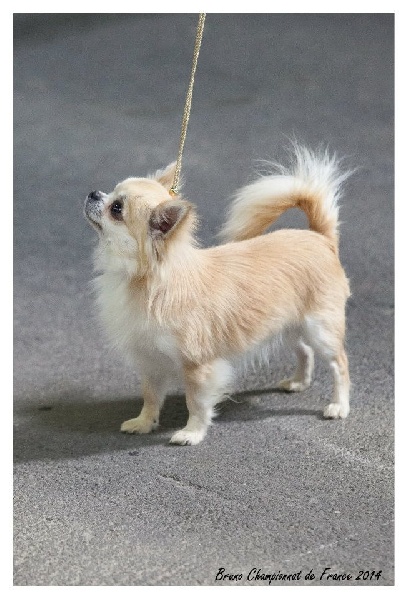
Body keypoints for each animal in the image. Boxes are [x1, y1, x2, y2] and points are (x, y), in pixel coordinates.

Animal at [84, 144, 351, 445]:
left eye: (116, 209)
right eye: (111, 192)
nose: (94, 193)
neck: (146, 280)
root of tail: (320, 238)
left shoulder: (198, 367)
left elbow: (196, 403)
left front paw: (192, 432)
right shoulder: (151, 361)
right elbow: (150, 397)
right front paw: (144, 422)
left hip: (320, 328)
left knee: (339, 363)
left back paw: (339, 405)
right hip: (288, 325)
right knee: (305, 351)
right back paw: (298, 382)